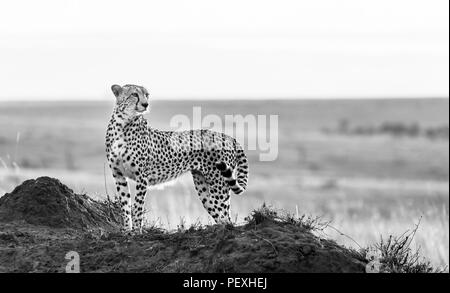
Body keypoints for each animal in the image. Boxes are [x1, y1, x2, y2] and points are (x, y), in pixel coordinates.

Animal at [106, 83, 250, 232]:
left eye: (147, 95)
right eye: (134, 94)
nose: (146, 104)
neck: (123, 123)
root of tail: (228, 136)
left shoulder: (142, 177)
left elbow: (137, 207)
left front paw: (137, 232)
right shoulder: (118, 175)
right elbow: (125, 206)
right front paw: (127, 231)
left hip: (219, 183)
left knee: (226, 216)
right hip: (203, 187)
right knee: (219, 213)